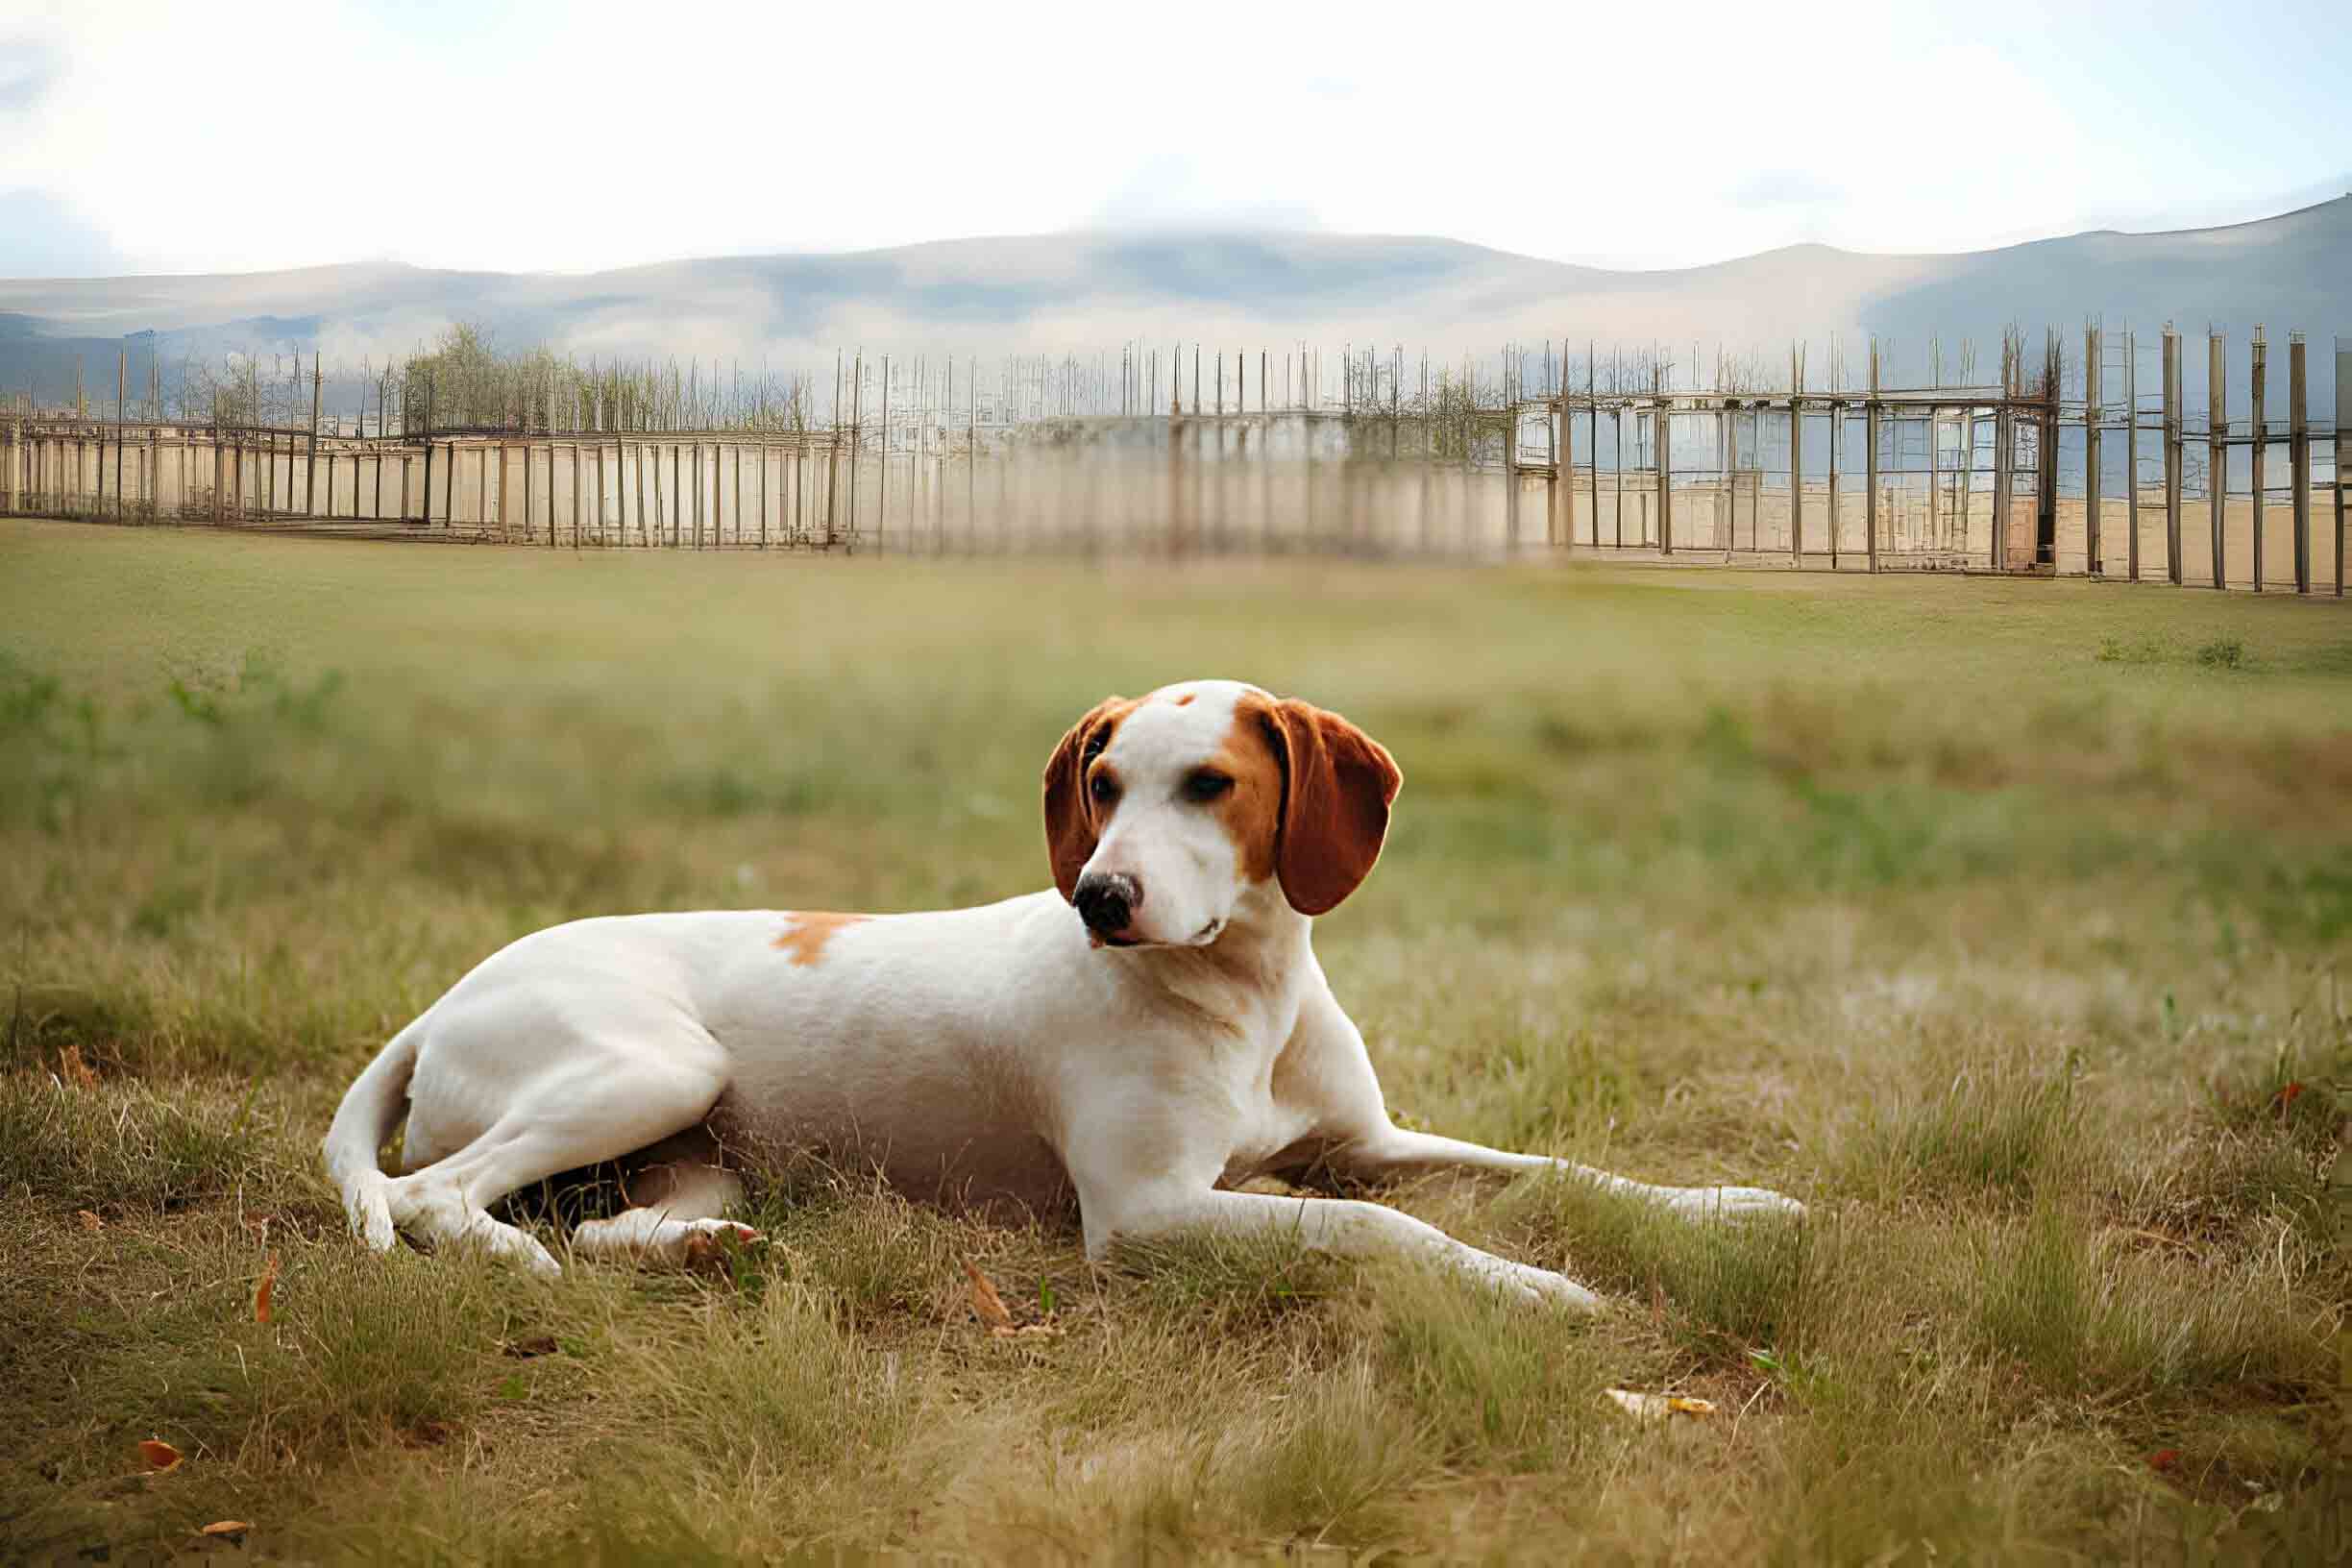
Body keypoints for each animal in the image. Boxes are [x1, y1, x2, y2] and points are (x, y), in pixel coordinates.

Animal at [327, 681, 1797, 1307]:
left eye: (1210, 784)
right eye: (1099, 783)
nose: (1097, 897)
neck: (1242, 996)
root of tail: (446, 999)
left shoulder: (1366, 1144)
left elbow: (1560, 1170)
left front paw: (1733, 1206)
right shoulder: (1146, 1214)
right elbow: (1380, 1230)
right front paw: (1541, 1290)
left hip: (699, 1151)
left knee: (608, 1224)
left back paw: (706, 1254)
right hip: (647, 1069)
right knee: (435, 1195)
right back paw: (507, 1259)